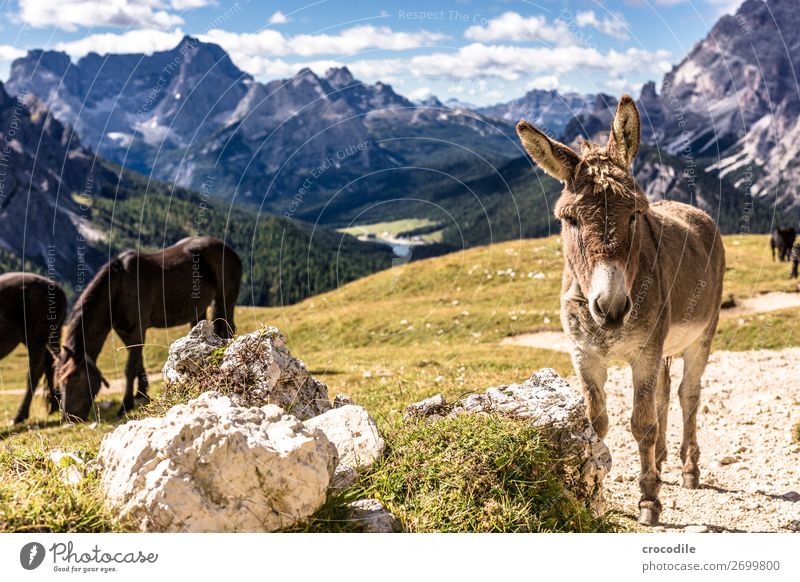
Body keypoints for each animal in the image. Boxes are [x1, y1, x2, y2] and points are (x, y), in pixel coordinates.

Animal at [0, 274, 67, 424]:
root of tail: (58, 289)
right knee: (50, 365)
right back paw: (55, 406)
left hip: (36, 339)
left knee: (35, 372)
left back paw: (19, 416)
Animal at [55, 237, 239, 424]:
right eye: (59, 380)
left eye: (75, 378)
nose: (68, 419)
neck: (118, 288)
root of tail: (227, 248)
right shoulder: (125, 332)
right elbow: (138, 362)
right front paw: (141, 394)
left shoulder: (137, 330)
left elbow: (130, 367)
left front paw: (125, 405)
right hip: (199, 309)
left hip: (225, 299)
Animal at [516, 94, 728, 524]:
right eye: (570, 220)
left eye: (634, 215)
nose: (611, 309)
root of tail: (694, 212)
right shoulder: (583, 355)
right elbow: (595, 424)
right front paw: (593, 490)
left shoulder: (645, 352)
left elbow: (642, 424)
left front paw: (648, 501)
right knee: (664, 392)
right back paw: (661, 461)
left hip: (702, 334)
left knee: (688, 395)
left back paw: (688, 470)